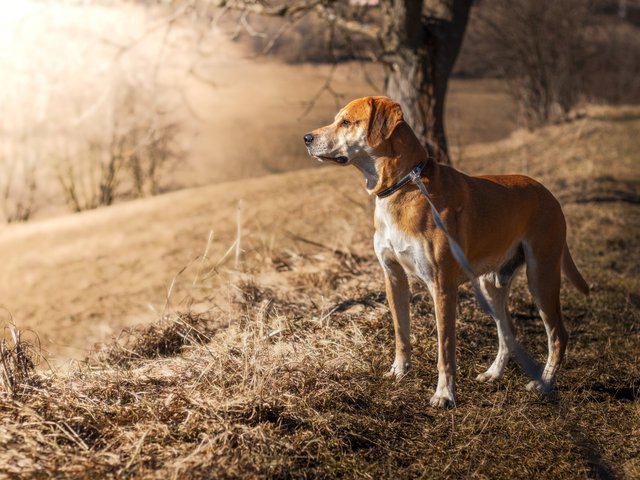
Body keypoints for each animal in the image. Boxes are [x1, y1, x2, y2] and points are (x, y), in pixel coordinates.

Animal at [302, 96, 588, 408]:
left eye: (345, 122)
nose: (307, 138)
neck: (403, 186)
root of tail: (548, 193)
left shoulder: (442, 287)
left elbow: (445, 349)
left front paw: (444, 393)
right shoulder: (394, 277)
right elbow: (401, 332)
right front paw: (399, 371)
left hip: (541, 276)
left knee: (558, 334)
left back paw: (544, 382)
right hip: (490, 284)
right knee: (507, 331)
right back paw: (494, 373)